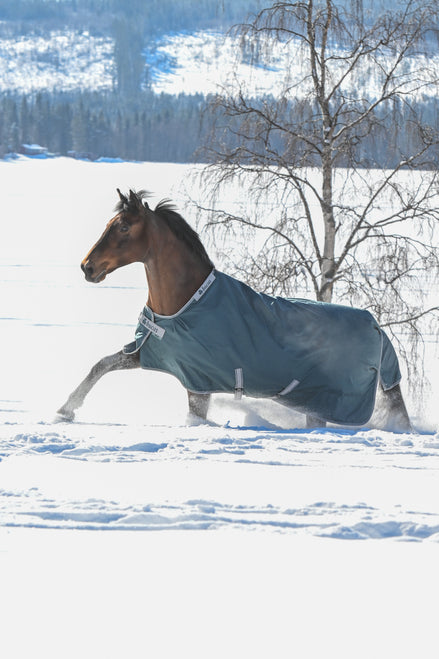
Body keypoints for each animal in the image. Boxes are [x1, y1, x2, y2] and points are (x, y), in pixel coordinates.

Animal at [57, 188, 412, 431]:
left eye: (123, 228)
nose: (87, 267)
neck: (183, 305)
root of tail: (377, 327)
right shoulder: (150, 352)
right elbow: (102, 365)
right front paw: (66, 410)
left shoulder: (199, 383)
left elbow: (194, 418)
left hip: (328, 402)